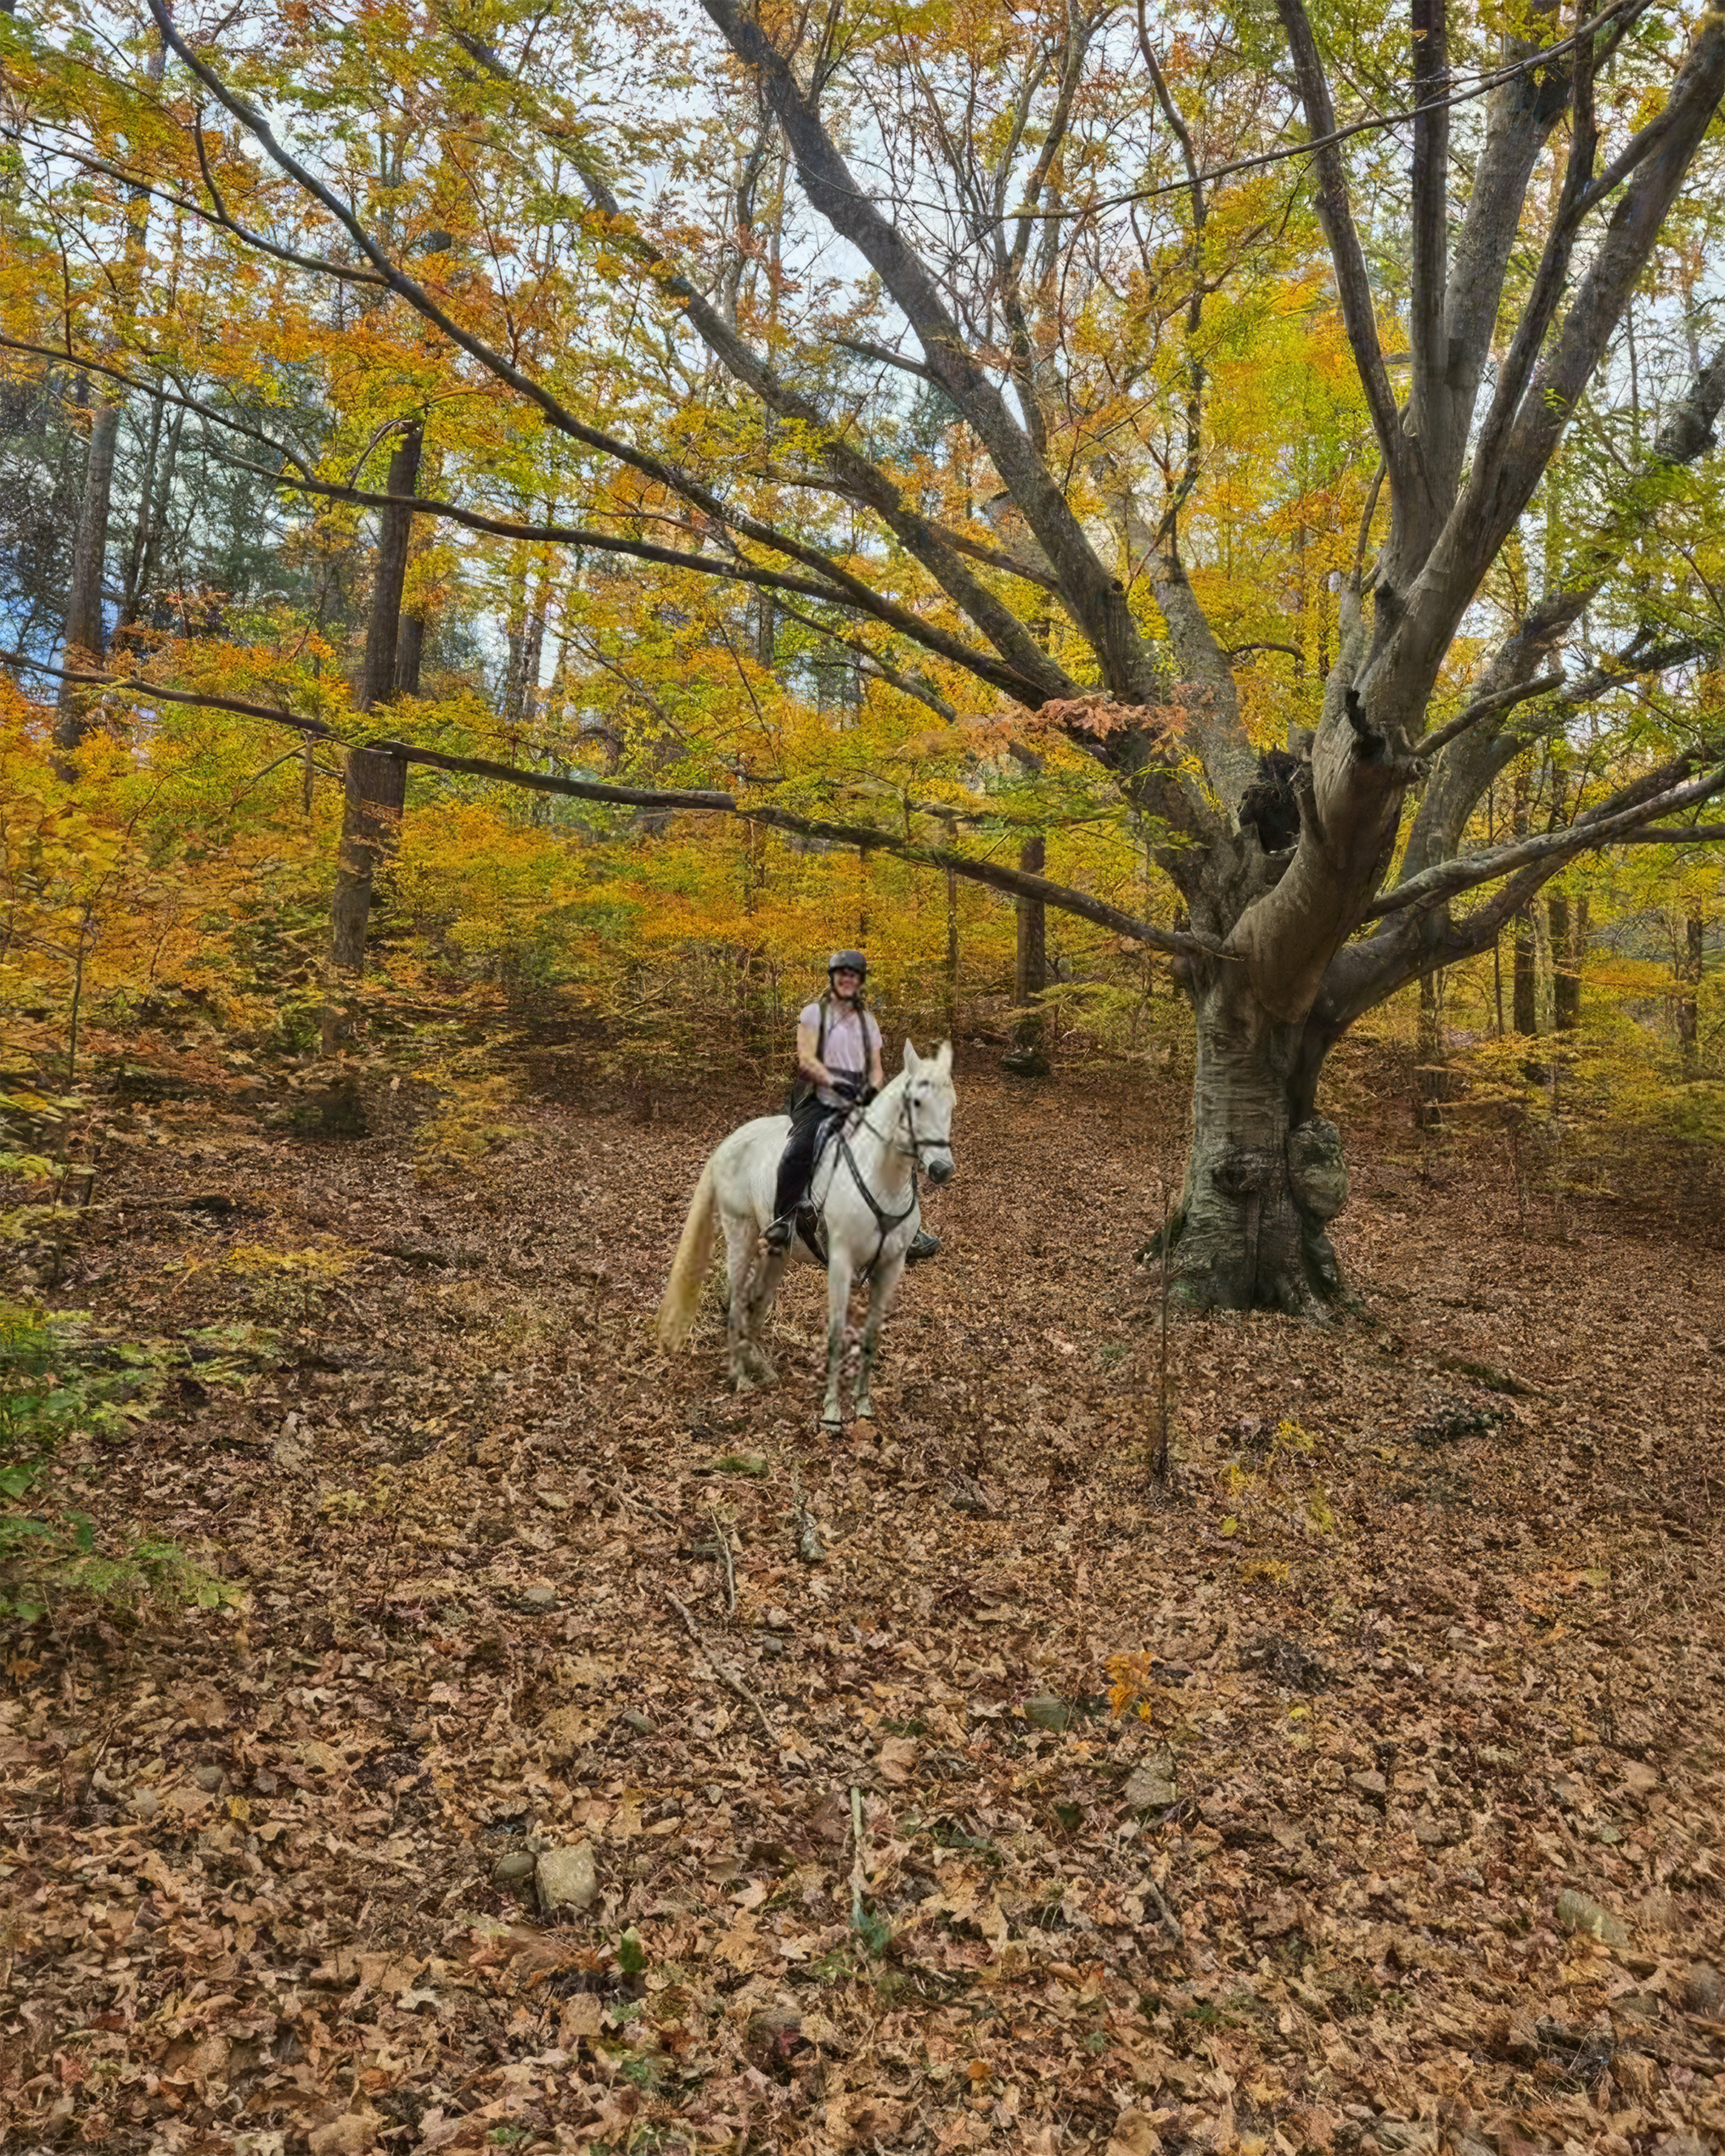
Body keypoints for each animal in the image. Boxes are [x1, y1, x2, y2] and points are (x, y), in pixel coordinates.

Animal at [656, 1042, 957, 1429]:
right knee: (736, 1299)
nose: (942, 1170)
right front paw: (831, 1411)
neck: (882, 1177)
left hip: (776, 1250)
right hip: (740, 1232)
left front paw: (863, 1403)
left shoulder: (890, 1267)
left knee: (755, 1299)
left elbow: (872, 1333)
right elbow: (836, 1332)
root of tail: (729, 1142)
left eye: (952, 1104)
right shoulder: (841, 1262)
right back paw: (740, 1378)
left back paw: (759, 1366)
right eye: (916, 1103)